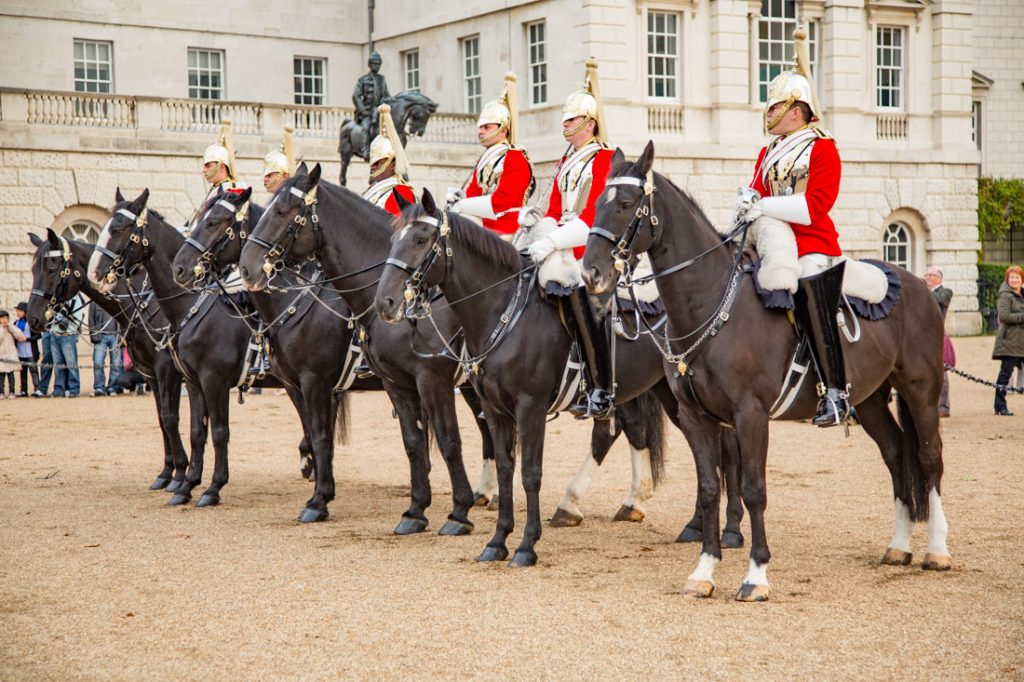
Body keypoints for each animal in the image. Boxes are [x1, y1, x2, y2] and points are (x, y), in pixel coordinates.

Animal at [28, 227, 190, 489]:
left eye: (51, 269)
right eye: (33, 270)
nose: (32, 318)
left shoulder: (167, 370)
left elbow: (170, 417)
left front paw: (180, 473)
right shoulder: (152, 374)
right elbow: (161, 418)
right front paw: (167, 473)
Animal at [370, 188, 745, 565]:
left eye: (421, 239)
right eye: (392, 239)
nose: (385, 302)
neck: (504, 311)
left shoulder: (527, 407)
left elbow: (529, 473)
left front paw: (525, 545)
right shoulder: (493, 408)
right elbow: (505, 468)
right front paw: (497, 541)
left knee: (723, 449)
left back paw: (729, 530)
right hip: (671, 393)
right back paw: (692, 525)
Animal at [581, 143, 946, 602]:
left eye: (627, 204)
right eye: (597, 203)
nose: (591, 273)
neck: (711, 304)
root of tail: (918, 285)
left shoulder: (751, 415)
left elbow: (754, 489)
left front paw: (756, 574)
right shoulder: (696, 418)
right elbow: (709, 488)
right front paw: (704, 570)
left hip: (921, 390)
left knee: (929, 458)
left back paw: (937, 550)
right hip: (870, 400)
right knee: (896, 454)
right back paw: (898, 547)